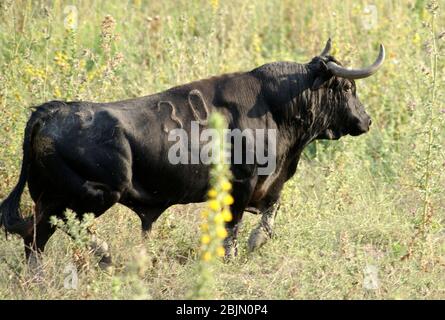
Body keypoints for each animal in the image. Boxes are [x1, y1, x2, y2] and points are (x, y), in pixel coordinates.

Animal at [0, 39, 384, 264]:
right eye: (347, 87)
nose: (366, 120)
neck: (275, 106)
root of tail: (52, 111)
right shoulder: (240, 187)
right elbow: (233, 230)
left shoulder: (269, 186)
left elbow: (268, 218)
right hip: (91, 195)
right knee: (53, 229)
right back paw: (105, 255)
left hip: (53, 198)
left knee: (35, 237)